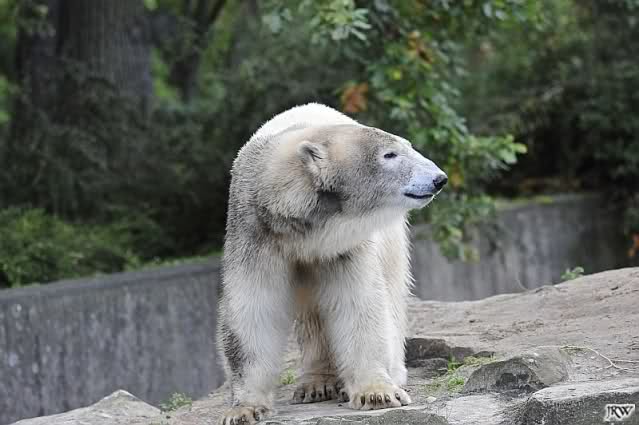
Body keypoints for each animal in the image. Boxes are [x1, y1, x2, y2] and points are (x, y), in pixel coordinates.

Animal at [218, 103, 447, 424]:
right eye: (389, 154)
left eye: (409, 146)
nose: (439, 178)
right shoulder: (256, 233)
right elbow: (254, 308)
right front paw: (244, 409)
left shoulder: (345, 245)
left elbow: (358, 303)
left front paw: (377, 393)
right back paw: (316, 384)